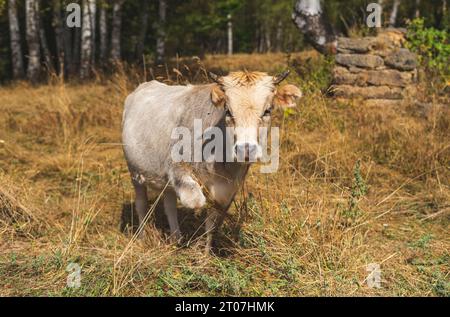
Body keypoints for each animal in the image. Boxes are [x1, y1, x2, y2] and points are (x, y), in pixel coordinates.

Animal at [121, 70, 300, 253]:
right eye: (228, 111)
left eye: (267, 110)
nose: (245, 149)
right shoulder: (178, 170)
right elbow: (197, 201)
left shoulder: (229, 188)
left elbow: (212, 222)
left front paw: (206, 252)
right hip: (135, 172)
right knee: (142, 204)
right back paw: (143, 237)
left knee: (169, 204)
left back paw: (176, 238)